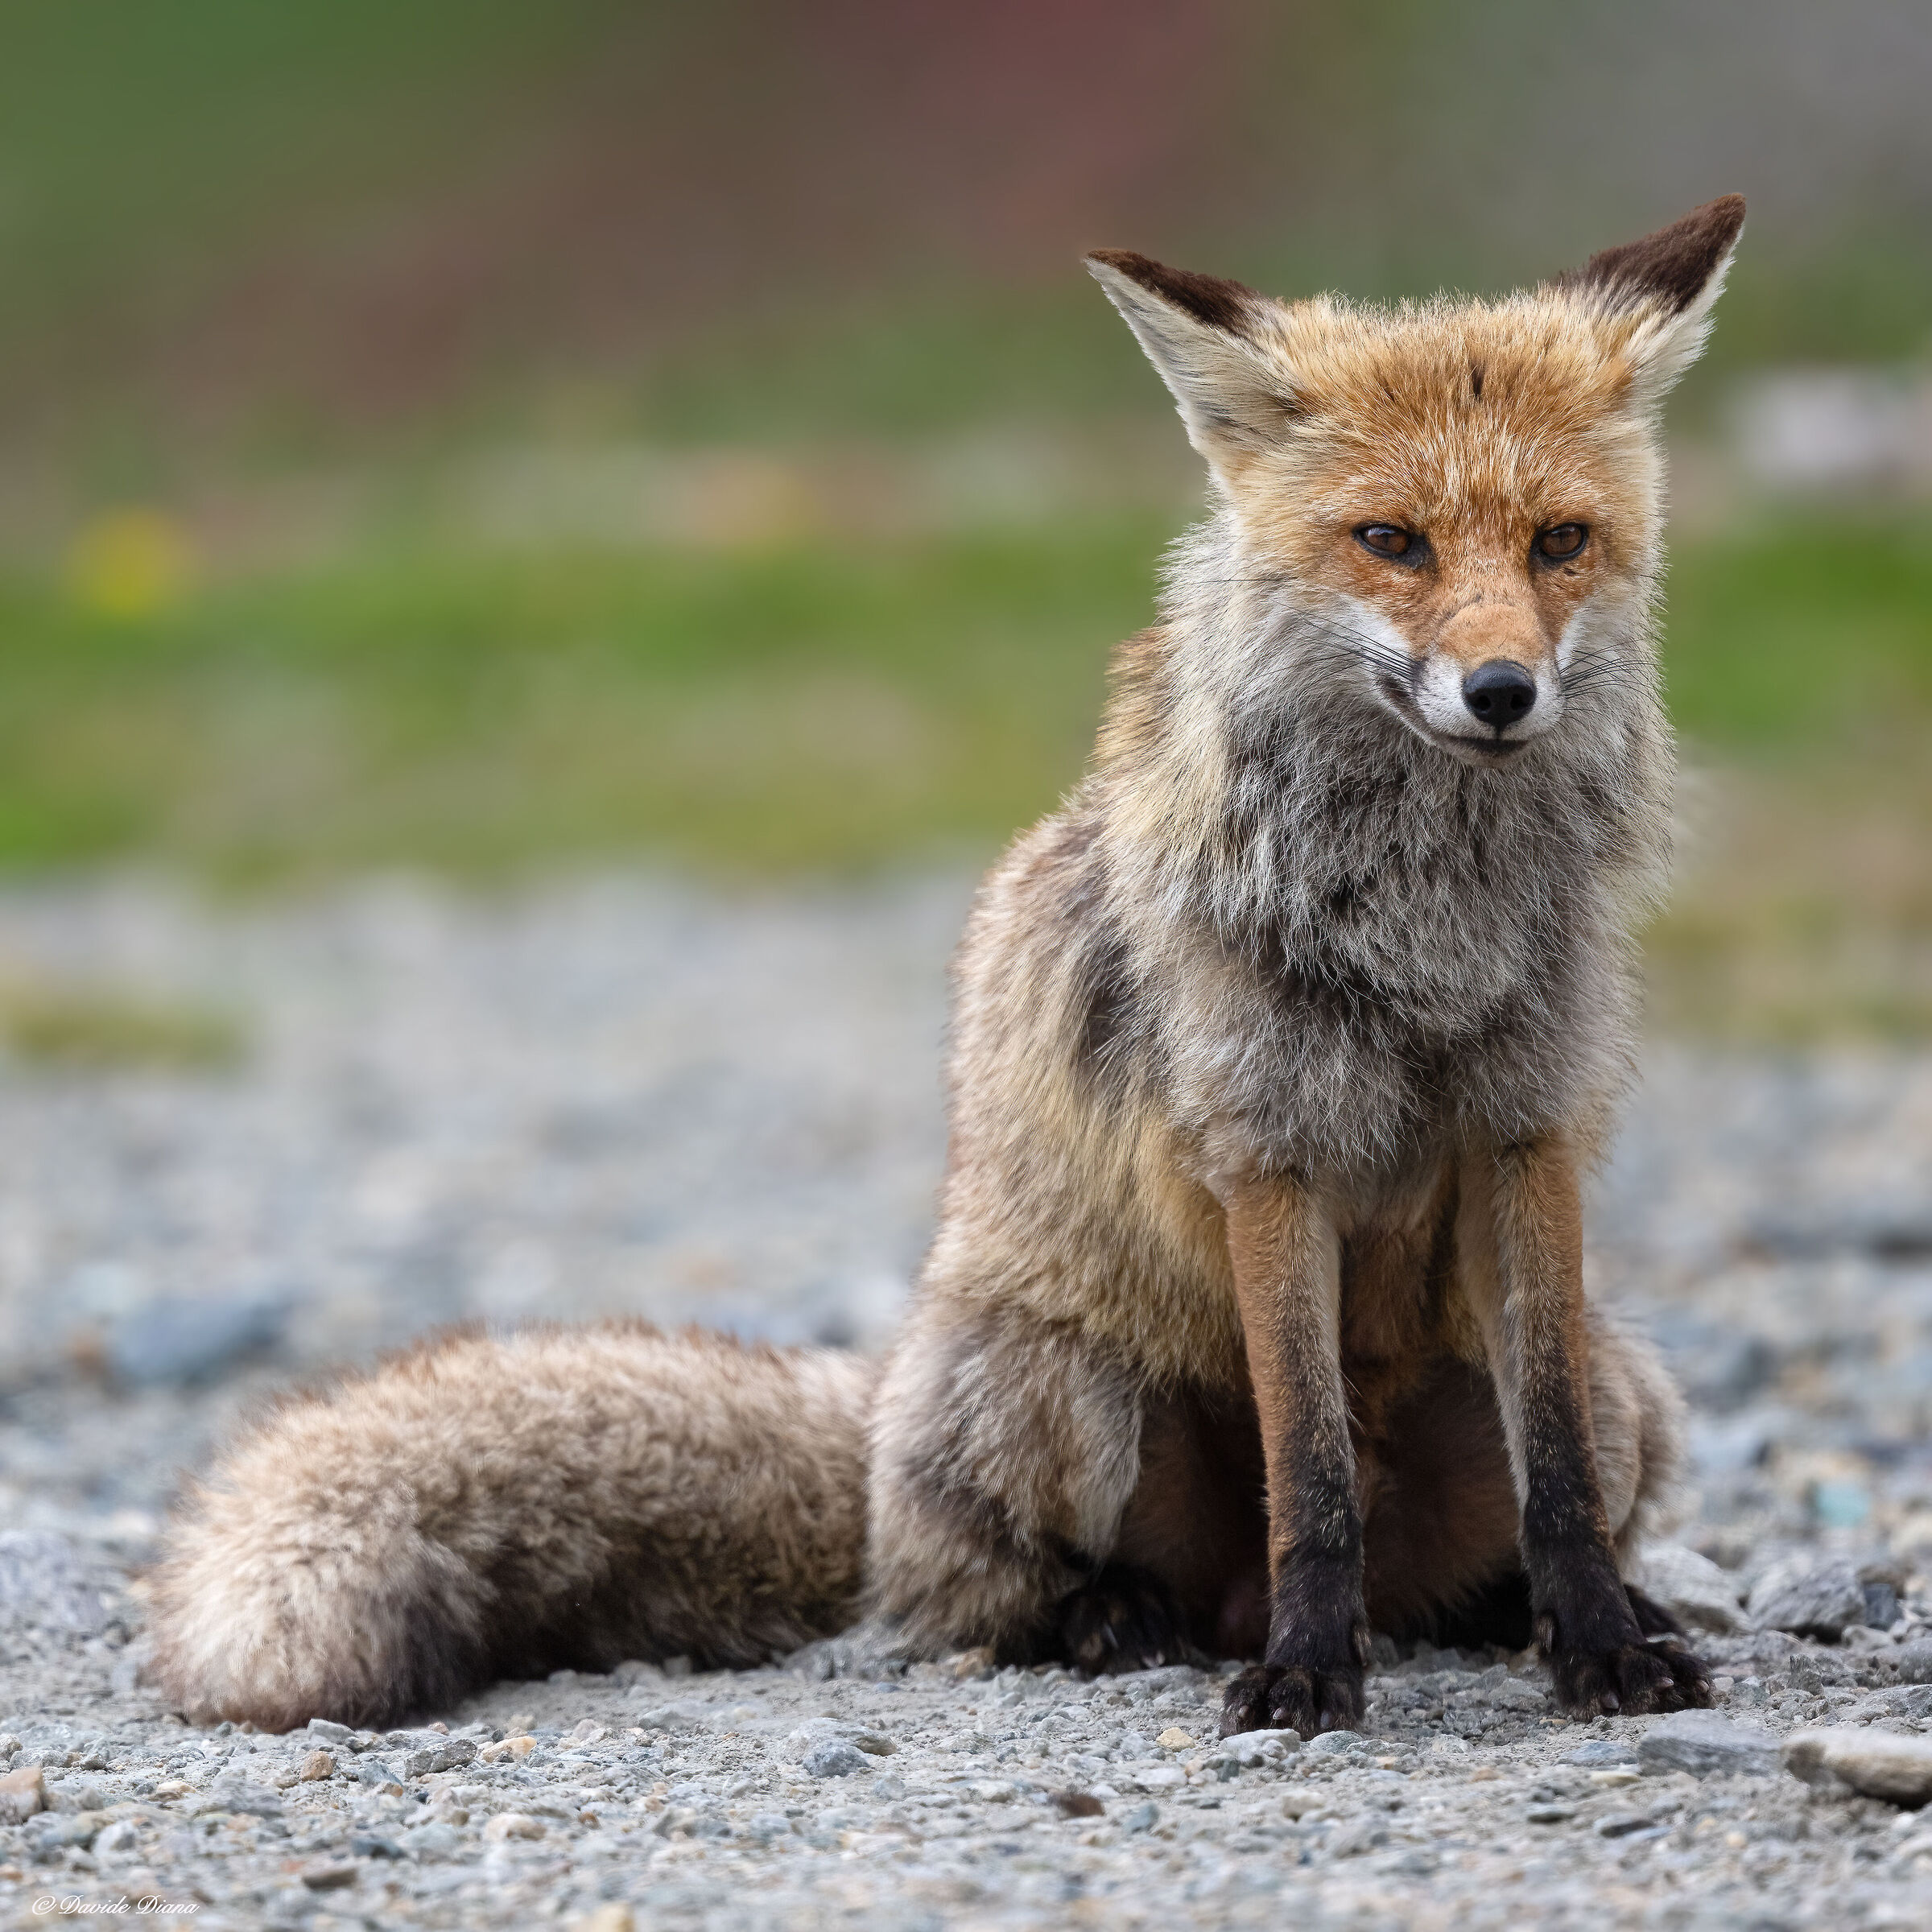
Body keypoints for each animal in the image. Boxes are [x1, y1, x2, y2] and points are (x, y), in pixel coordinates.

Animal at [150, 196, 1746, 1741]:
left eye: (1560, 542)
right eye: (1392, 541)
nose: (1502, 693)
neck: (1427, 926)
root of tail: (880, 1424)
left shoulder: (1526, 1136)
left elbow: (1553, 1482)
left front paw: (1600, 1648)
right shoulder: (1266, 1155)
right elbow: (1313, 1476)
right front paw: (1306, 1679)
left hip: (1624, 1383)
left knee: (1497, 1520)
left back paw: (1529, 1613)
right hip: (1070, 1399)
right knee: (997, 1597)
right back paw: (1125, 1623)